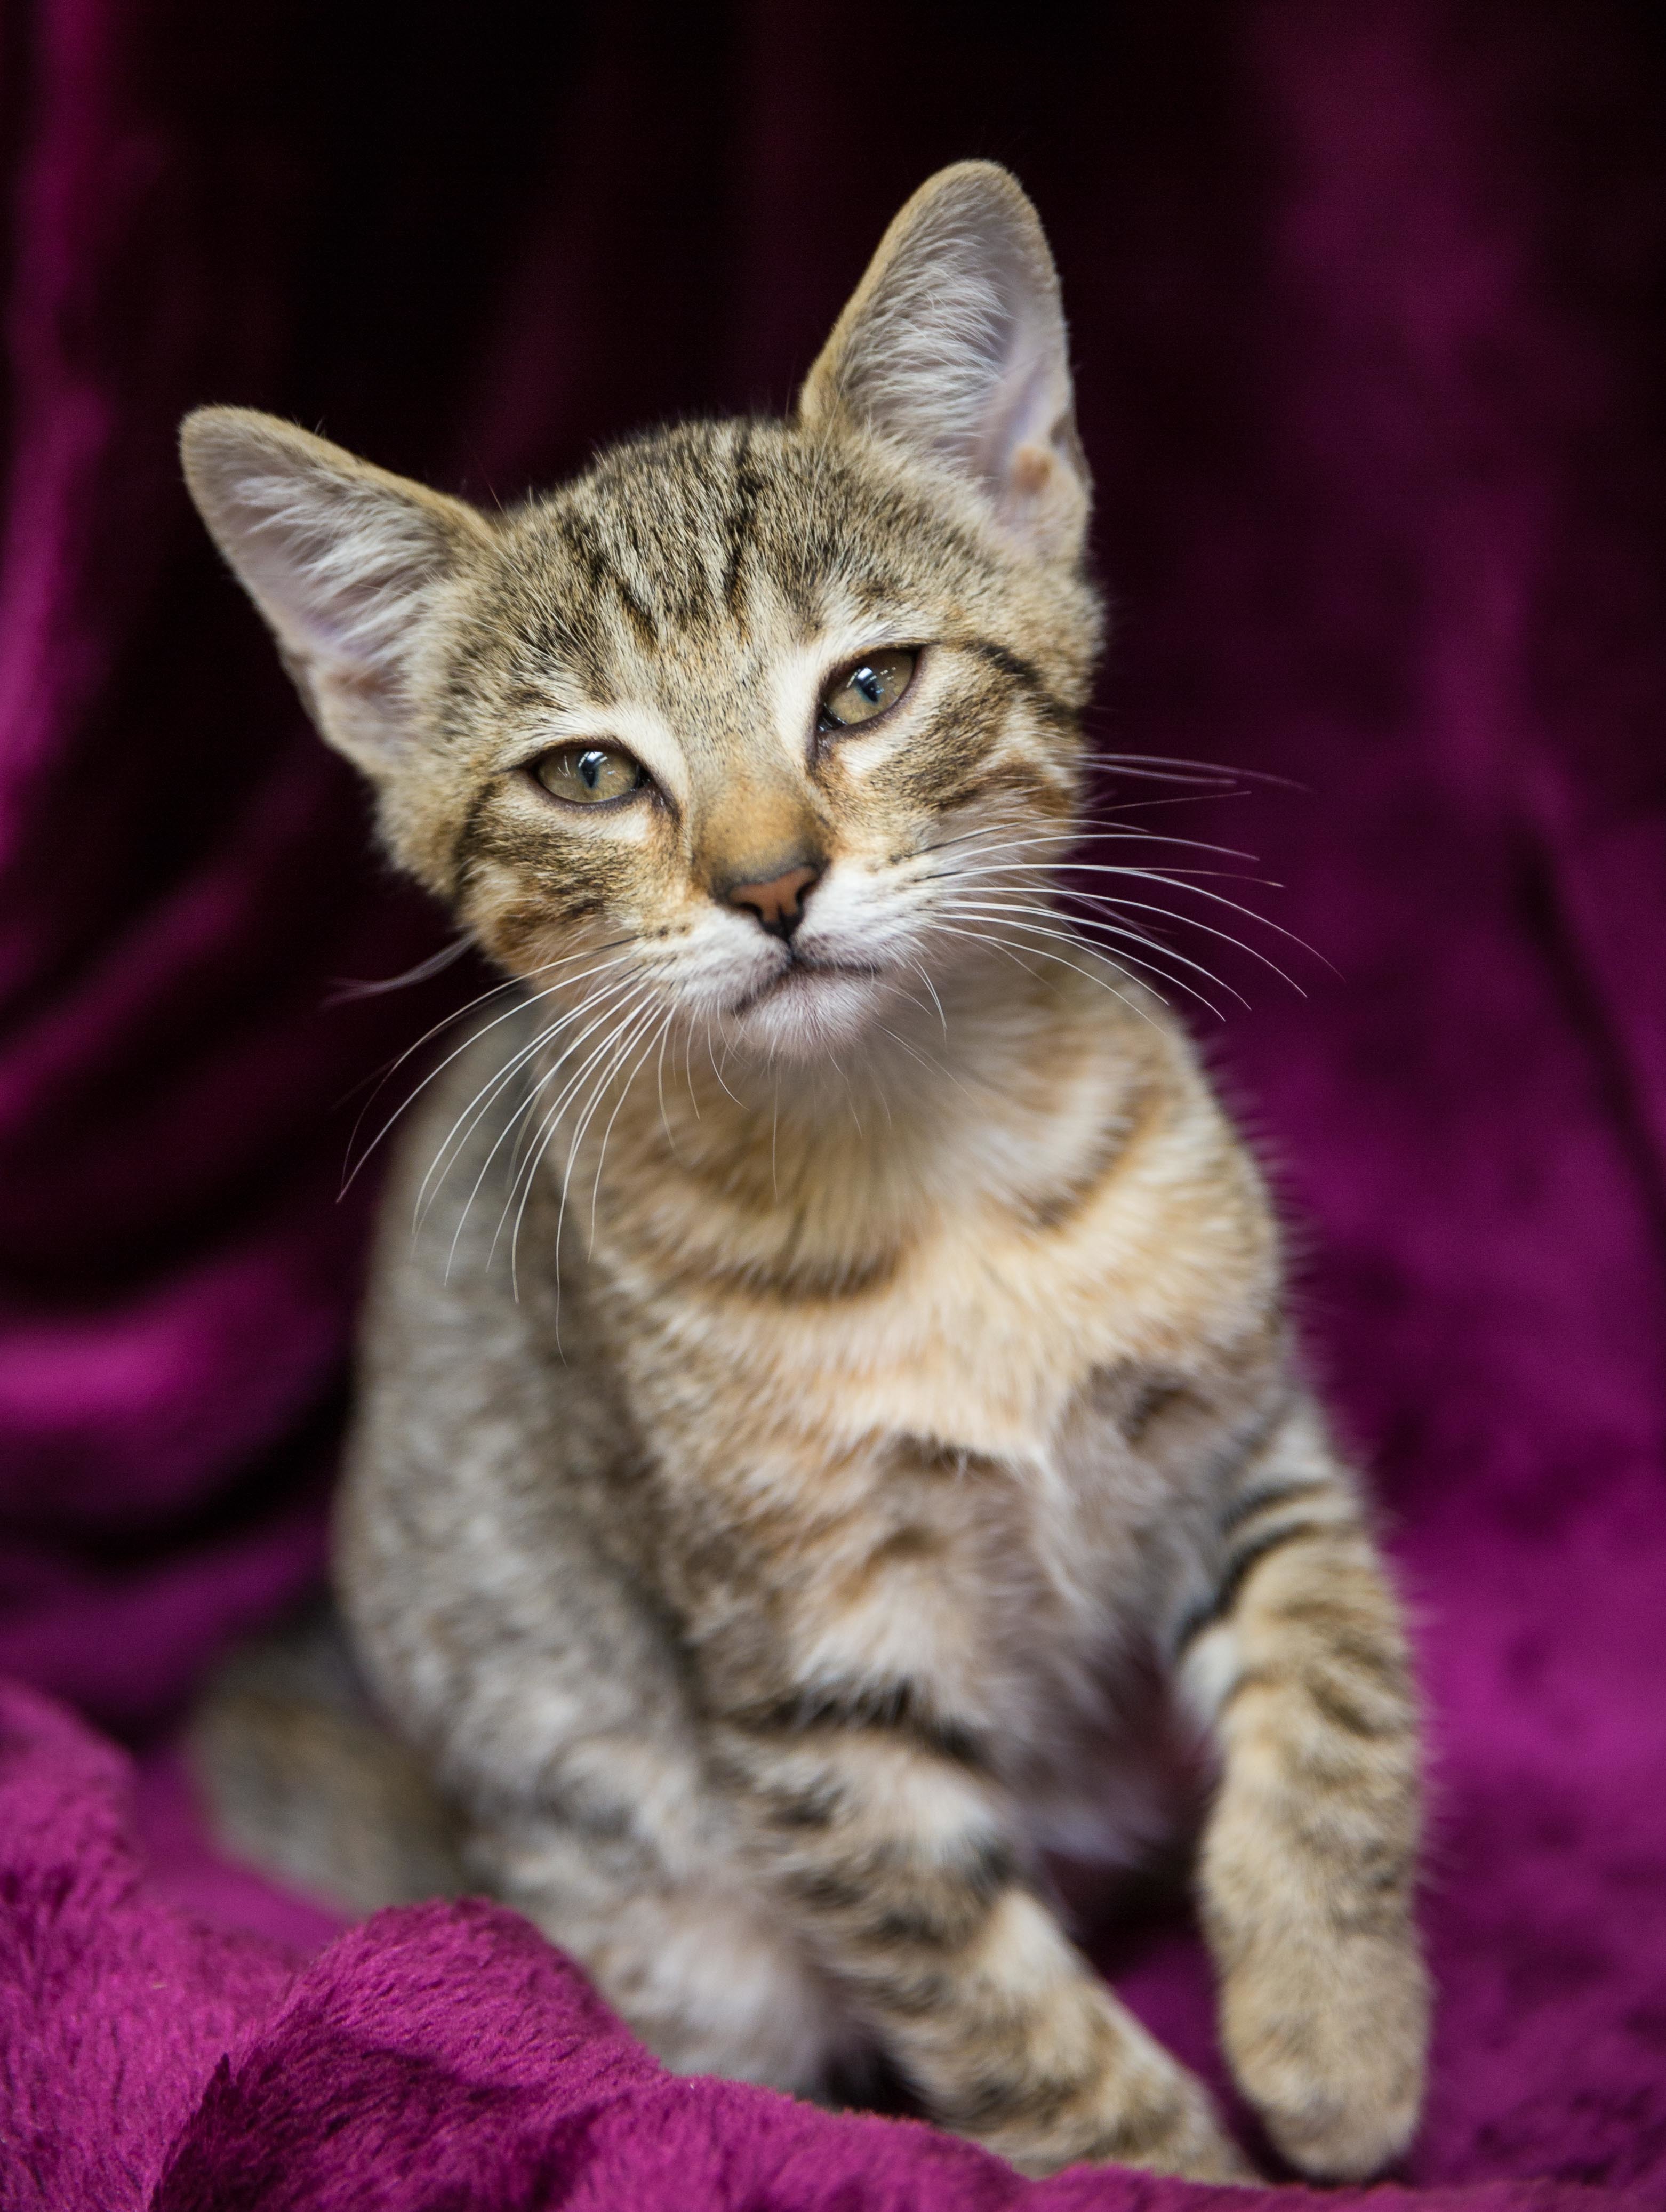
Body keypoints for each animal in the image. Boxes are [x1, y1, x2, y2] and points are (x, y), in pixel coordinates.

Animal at [185, 163, 1433, 2185]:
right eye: (591, 773)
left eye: (866, 687)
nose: (771, 881)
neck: (924, 1177)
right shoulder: (813, 1688)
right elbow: (998, 2004)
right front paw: (1170, 2164)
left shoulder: (1248, 1441)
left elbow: (1335, 1686)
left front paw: (1334, 2026)